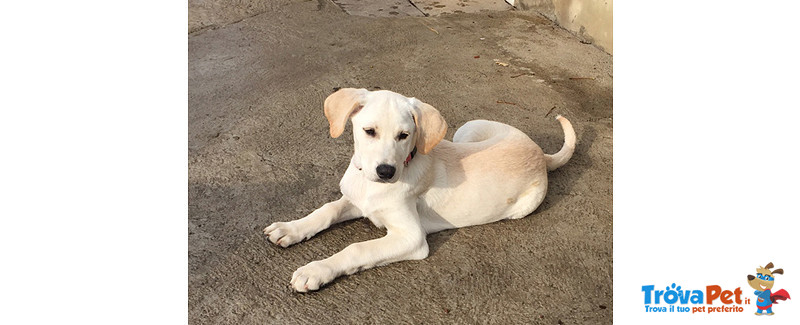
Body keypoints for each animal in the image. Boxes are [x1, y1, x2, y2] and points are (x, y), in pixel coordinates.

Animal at [264, 88, 576, 292]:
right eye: (369, 131)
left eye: (404, 135)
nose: (386, 172)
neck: (370, 185)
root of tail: (540, 153)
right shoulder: (356, 200)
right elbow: (326, 210)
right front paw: (290, 229)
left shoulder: (411, 237)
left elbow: (357, 249)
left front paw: (316, 270)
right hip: (467, 130)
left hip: (520, 204)